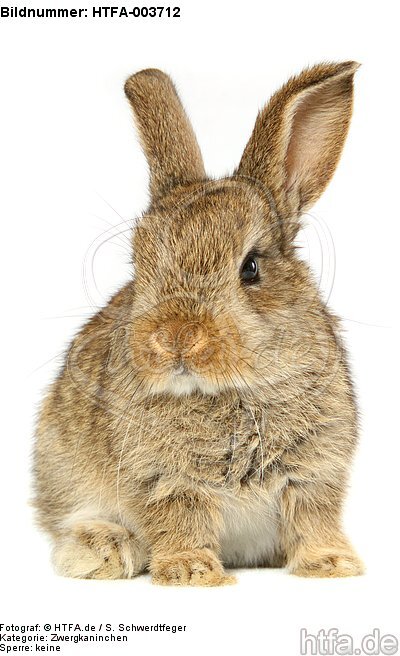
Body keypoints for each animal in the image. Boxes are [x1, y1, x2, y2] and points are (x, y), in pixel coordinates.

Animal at [34, 62, 364, 586]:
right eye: (140, 264)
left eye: (251, 267)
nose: (174, 339)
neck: (230, 391)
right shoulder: (163, 478)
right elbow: (181, 519)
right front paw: (191, 572)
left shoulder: (315, 470)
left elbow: (312, 518)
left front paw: (331, 565)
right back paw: (103, 549)